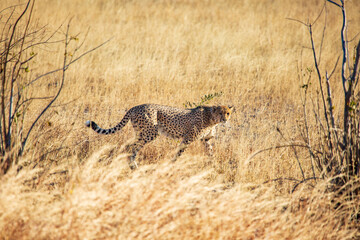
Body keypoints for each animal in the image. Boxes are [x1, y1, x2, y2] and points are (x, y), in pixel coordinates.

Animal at [86, 103, 235, 169]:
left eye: (227, 113)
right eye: (221, 113)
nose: (225, 119)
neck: (212, 118)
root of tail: (136, 106)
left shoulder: (206, 140)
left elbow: (210, 153)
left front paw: (214, 165)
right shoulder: (188, 138)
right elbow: (179, 153)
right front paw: (172, 165)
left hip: (141, 132)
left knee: (127, 145)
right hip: (150, 133)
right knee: (131, 147)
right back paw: (133, 166)